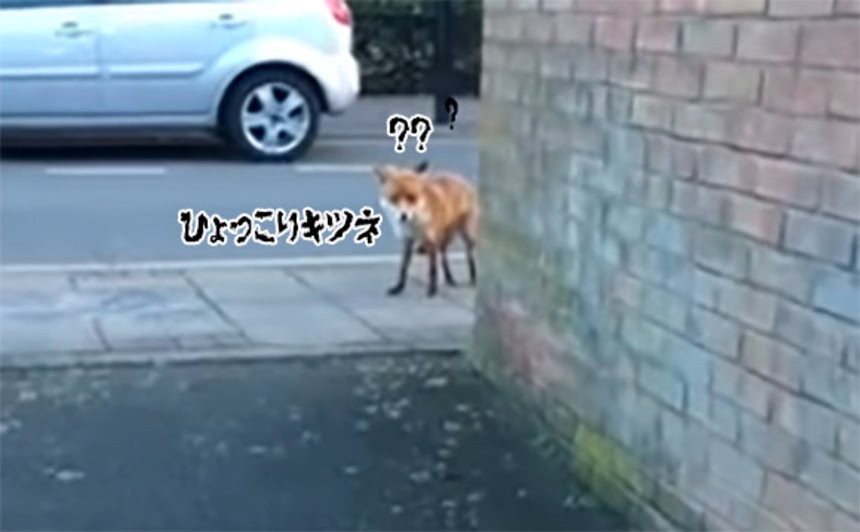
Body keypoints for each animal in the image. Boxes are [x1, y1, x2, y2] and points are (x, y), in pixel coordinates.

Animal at [374, 160, 478, 297]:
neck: (415, 224)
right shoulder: (407, 240)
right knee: (443, 255)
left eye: (411, 197)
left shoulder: (431, 241)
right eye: (394, 199)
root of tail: (460, 178)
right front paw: (399, 287)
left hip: (465, 234)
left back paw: (473, 278)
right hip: (445, 237)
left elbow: (432, 269)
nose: (403, 216)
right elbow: (403, 267)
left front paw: (432, 290)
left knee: (469, 255)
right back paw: (449, 278)